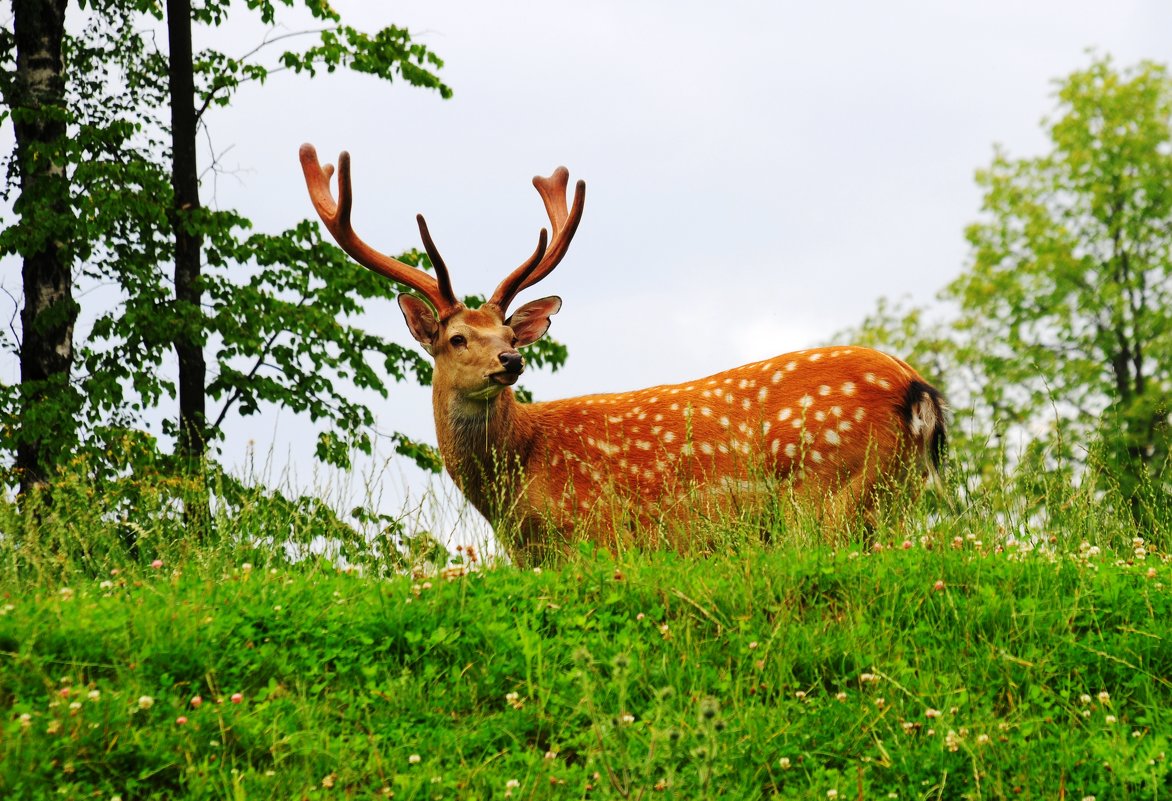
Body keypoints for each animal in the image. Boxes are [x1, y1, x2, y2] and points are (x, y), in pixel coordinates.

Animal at [297, 144, 946, 562]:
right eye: (458, 339)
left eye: (507, 336)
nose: (510, 362)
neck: (517, 489)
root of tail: (917, 390)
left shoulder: (600, 538)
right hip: (895, 497)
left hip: (828, 495)